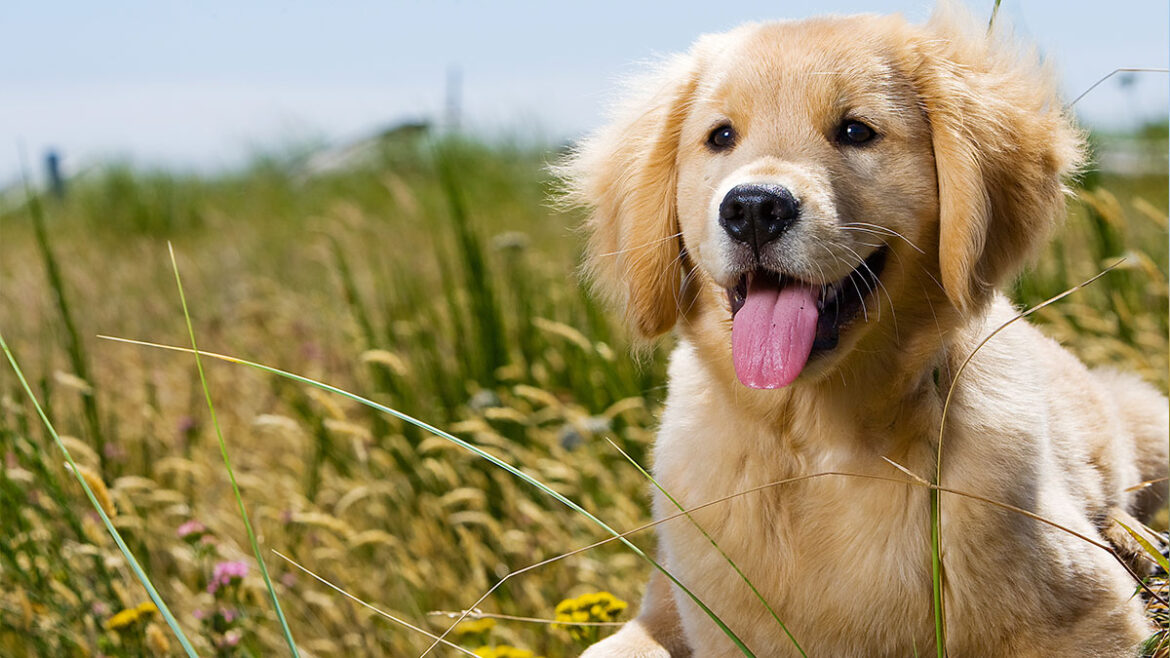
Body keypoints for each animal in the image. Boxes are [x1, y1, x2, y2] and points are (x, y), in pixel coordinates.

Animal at [561, 2, 1165, 650]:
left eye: (855, 131)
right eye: (720, 136)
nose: (753, 208)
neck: (816, 445)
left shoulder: (1091, 616)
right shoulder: (690, 610)